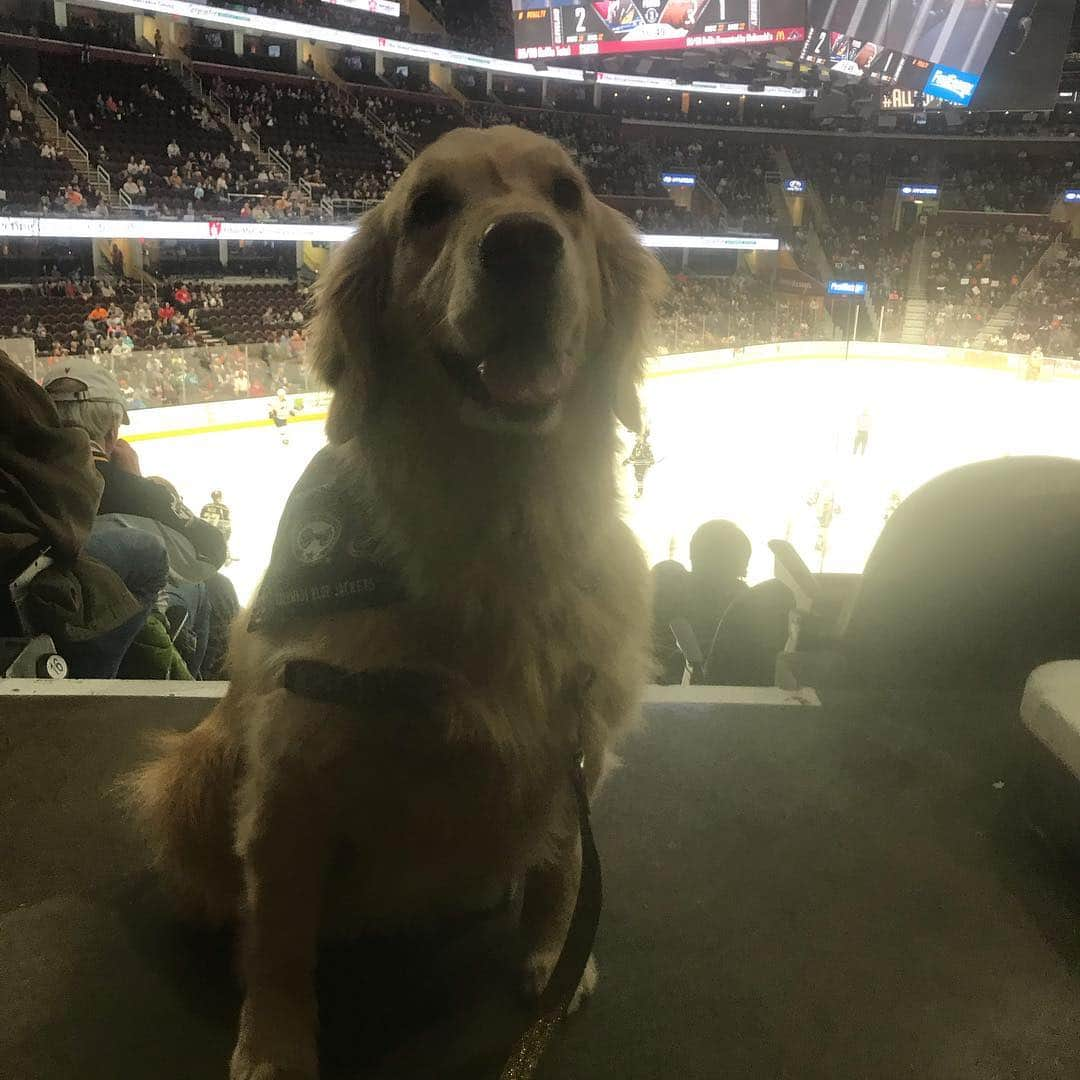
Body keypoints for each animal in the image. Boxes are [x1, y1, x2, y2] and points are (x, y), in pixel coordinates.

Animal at [127, 122, 665, 1075]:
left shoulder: (577, 735)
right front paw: (274, 1042)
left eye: (567, 192)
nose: (521, 244)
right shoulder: (290, 775)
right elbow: (279, 935)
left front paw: (552, 956)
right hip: (187, 772)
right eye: (429, 208)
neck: (501, 524)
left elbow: (564, 866)